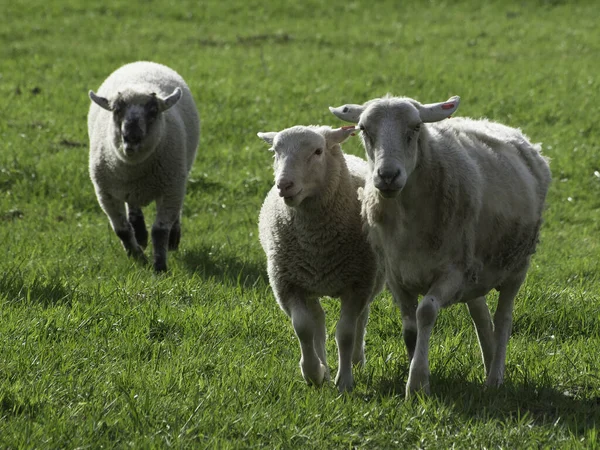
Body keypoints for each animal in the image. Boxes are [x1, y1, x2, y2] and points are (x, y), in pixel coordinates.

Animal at [86, 61, 200, 272]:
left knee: (175, 214)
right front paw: (138, 258)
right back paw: (139, 234)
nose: (132, 137)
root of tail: (142, 63)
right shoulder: (105, 193)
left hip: (179, 177)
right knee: (133, 206)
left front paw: (160, 267)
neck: (134, 166)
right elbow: (122, 230)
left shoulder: (171, 188)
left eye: (153, 111)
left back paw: (173, 239)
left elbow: (160, 231)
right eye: (116, 110)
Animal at [258, 125, 384, 392]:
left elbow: (345, 333)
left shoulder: (357, 283)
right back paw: (324, 364)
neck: (317, 245)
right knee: (318, 322)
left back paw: (357, 360)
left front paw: (344, 381)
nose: (284, 185)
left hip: (372, 279)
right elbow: (304, 329)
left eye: (317, 151)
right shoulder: (287, 284)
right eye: (275, 151)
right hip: (309, 284)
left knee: (361, 319)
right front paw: (314, 373)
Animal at [330, 95, 552, 398]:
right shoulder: (397, 276)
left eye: (415, 128)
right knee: (481, 316)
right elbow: (410, 328)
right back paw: (488, 365)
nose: (387, 175)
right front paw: (415, 368)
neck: (408, 218)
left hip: (516, 267)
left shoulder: (452, 273)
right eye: (363, 129)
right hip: (474, 272)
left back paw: (495, 377)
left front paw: (417, 383)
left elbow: (425, 313)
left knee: (503, 319)